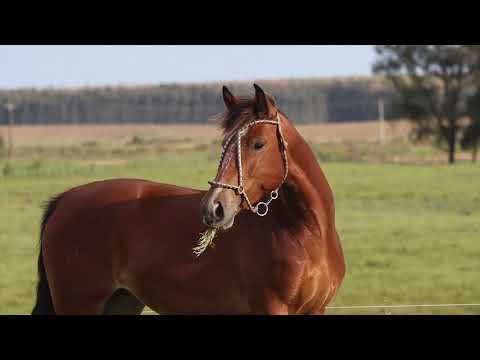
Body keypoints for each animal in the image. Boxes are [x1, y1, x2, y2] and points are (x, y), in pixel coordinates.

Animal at [31, 84, 344, 316]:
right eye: (225, 144)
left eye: (258, 144)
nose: (214, 207)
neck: (303, 233)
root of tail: (64, 200)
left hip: (121, 302)